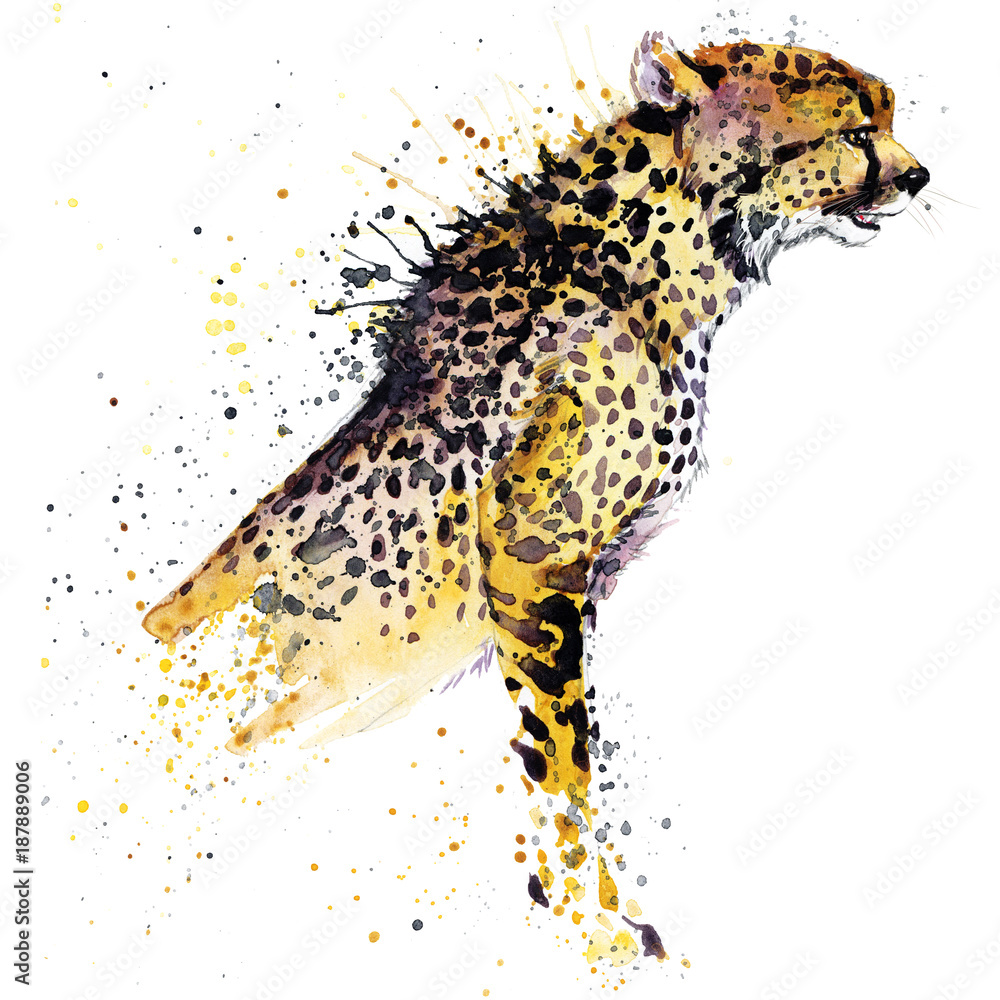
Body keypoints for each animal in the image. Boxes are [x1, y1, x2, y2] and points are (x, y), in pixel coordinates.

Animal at [143, 32, 928, 956]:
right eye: (852, 131)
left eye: (889, 116)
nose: (918, 177)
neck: (655, 260)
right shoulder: (532, 560)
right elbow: (563, 765)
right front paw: (603, 920)